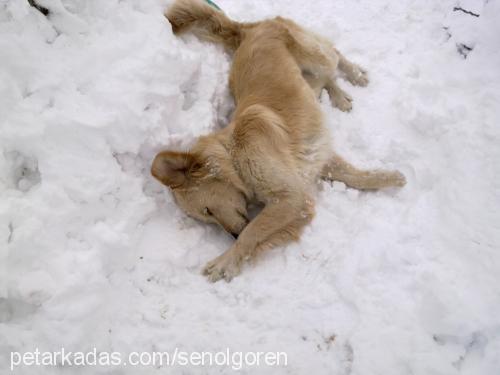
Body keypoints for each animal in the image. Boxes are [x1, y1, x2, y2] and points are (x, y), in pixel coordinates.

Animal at [152, 0, 406, 282]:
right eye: (206, 219)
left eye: (207, 211)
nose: (232, 236)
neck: (234, 154)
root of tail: (250, 30)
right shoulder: (314, 163)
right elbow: (355, 176)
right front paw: (389, 178)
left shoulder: (292, 198)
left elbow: (253, 230)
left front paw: (226, 261)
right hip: (309, 80)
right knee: (326, 76)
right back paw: (339, 94)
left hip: (315, 57)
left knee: (334, 55)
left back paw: (354, 77)